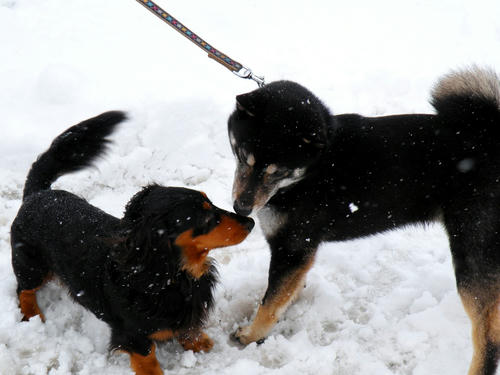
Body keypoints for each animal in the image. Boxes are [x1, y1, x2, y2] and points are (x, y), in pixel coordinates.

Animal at [11, 111, 254, 375]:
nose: (251, 221)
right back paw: (31, 314)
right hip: (31, 265)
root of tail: (36, 194)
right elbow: (148, 359)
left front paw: (197, 341)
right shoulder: (133, 336)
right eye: (206, 218)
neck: (171, 275)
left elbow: (187, 327)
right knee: (23, 289)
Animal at [229, 67, 500, 375]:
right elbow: (284, 291)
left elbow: (269, 304)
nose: (241, 208)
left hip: (471, 253)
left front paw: (251, 335)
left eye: (278, 172)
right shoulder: (298, 253)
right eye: (244, 158)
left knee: (488, 337)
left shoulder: (292, 247)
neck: (314, 166)